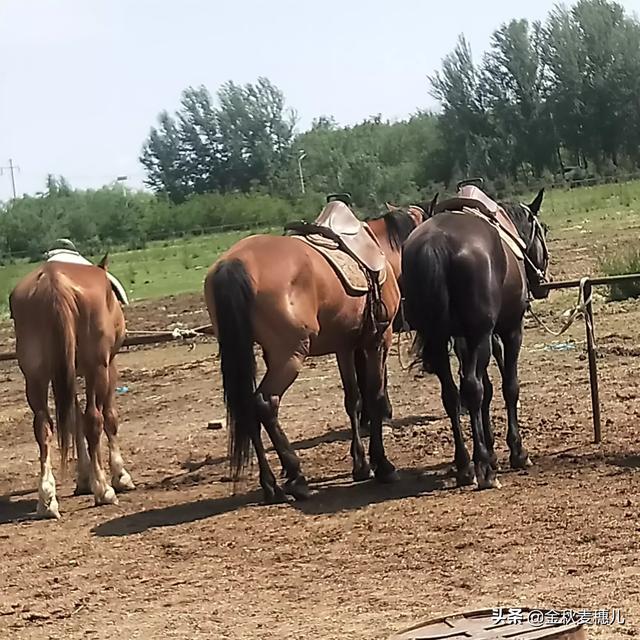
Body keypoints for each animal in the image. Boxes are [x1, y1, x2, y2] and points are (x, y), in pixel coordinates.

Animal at [9, 252, 135, 516]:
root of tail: (53, 282)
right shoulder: (108, 367)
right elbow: (108, 418)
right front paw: (119, 476)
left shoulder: (66, 376)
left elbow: (73, 420)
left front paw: (84, 480)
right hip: (97, 370)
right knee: (94, 420)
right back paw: (104, 490)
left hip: (35, 377)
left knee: (43, 427)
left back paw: (47, 498)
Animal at [205, 198, 400, 502]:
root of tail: (233, 263)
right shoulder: (378, 340)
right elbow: (375, 396)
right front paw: (382, 465)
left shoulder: (344, 346)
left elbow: (353, 400)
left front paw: (360, 464)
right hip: (290, 356)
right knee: (265, 403)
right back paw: (295, 477)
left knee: (249, 407)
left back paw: (272, 484)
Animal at [402, 185, 548, 490]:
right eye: (543, 231)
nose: (542, 283)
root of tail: (436, 244)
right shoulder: (508, 331)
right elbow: (508, 386)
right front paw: (516, 451)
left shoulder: (465, 340)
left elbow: (487, 390)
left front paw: (492, 450)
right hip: (480, 334)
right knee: (471, 387)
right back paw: (483, 468)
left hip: (440, 338)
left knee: (451, 393)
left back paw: (464, 465)